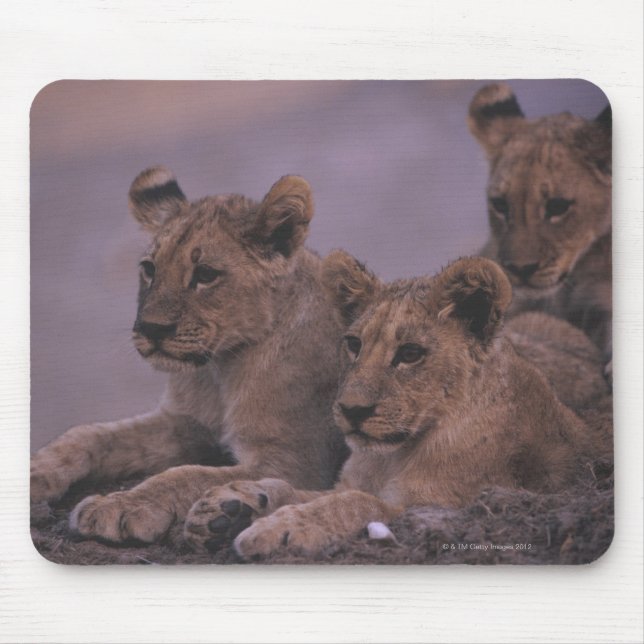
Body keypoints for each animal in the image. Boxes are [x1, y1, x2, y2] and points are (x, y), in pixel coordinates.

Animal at [30, 167, 348, 544]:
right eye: (149, 268)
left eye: (206, 274)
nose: (151, 328)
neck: (220, 370)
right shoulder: (182, 422)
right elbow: (92, 434)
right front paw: (35, 471)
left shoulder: (295, 461)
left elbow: (186, 475)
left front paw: (122, 505)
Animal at [182, 253, 610, 557]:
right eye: (354, 344)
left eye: (410, 353)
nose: (351, 410)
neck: (392, 456)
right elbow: (299, 489)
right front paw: (228, 505)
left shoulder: (440, 508)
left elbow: (355, 504)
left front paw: (273, 528)